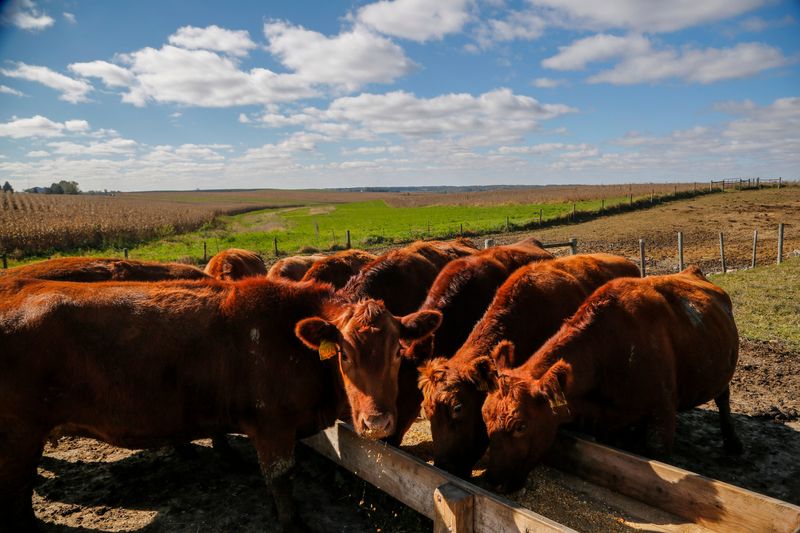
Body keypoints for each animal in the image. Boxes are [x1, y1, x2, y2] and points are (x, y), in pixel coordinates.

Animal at [0, 277, 442, 531]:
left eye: (398, 352)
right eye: (344, 354)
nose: (377, 422)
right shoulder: (273, 427)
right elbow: (281, 479)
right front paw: (292, 522)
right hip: (19, 437)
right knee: (17, 496)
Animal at [482, 266, 742, 493]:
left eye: (521, 426)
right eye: (484, 418)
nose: (493, 481)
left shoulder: (663, 415)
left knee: (723, 400)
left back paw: (732, 444)